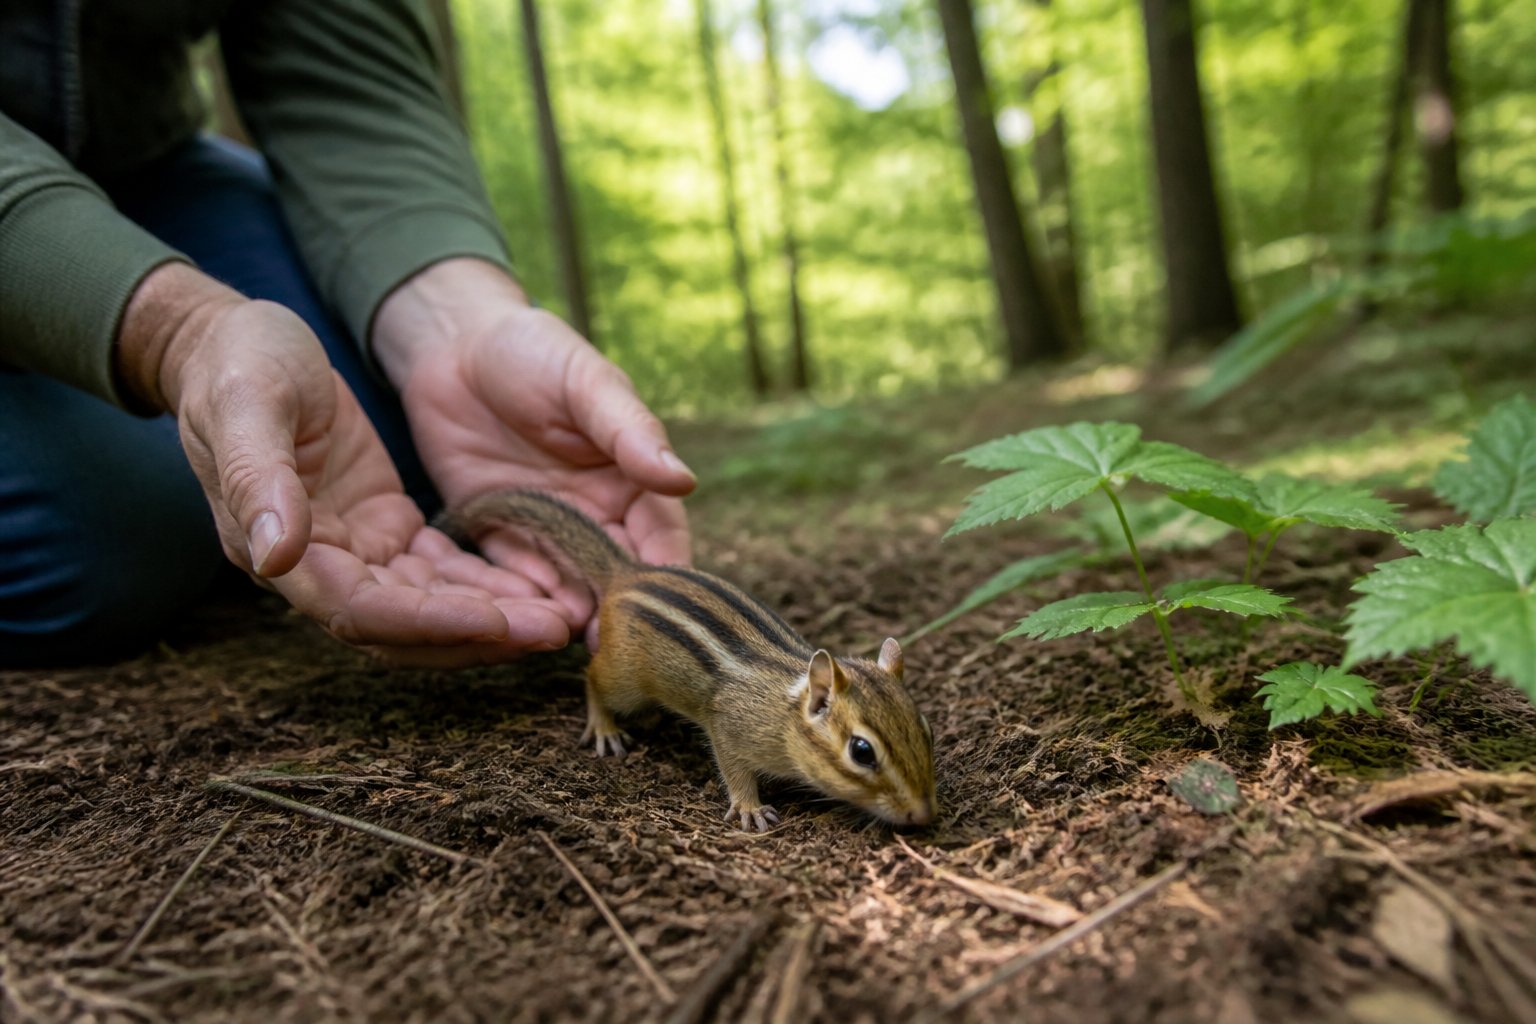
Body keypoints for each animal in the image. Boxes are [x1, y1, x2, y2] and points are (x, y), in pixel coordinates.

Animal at [438, 488, 937, 831]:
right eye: (862, 751)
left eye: (926, 730)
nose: (923, 814)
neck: (784, 710)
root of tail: (628, 573)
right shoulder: (730, 729)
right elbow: (733, 768)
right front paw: (750, 808)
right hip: (625, 680)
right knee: (592, 678)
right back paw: (604, 728)